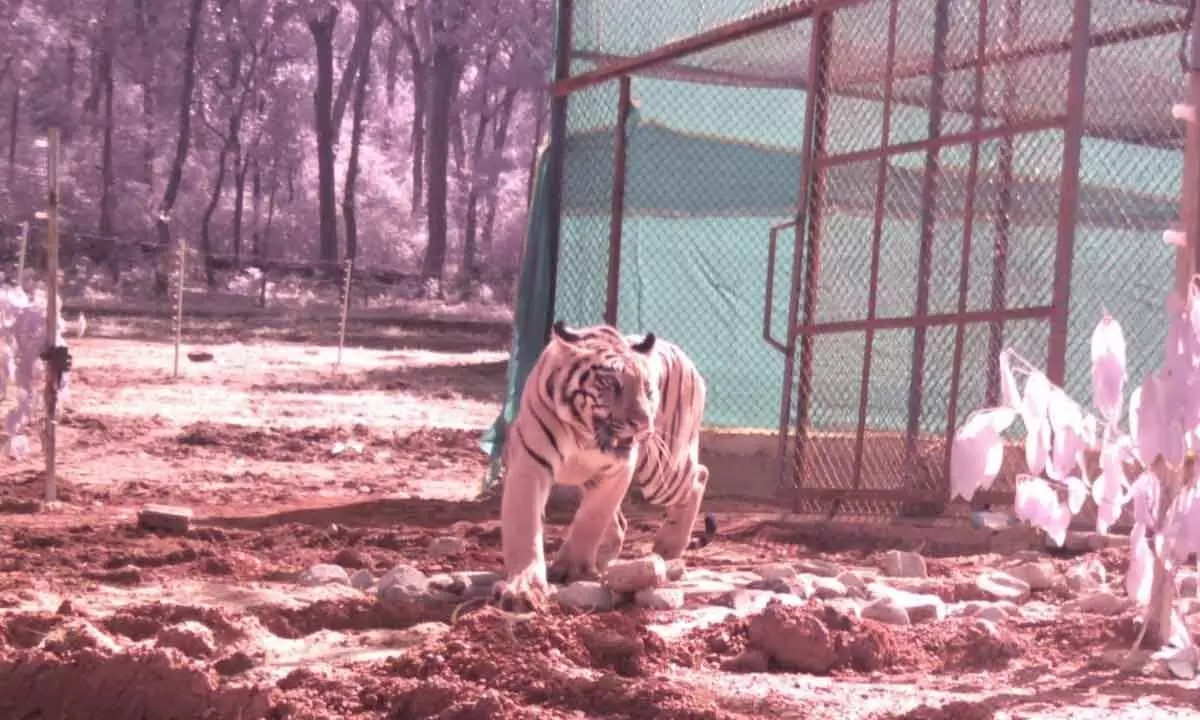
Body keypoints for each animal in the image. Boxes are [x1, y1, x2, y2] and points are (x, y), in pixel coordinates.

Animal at [494, 316, 715, 609]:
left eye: (648, 389)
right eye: (612, 384)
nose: (643, 423)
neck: (583, 433)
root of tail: (683, 355)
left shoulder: (620, 470)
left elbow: (592, 518)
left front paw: (574, 568)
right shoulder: (530, 463)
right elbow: (524, 527)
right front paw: (524, 587)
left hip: (663, 471)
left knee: (699, 475)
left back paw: (667, 549)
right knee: (621, 522)